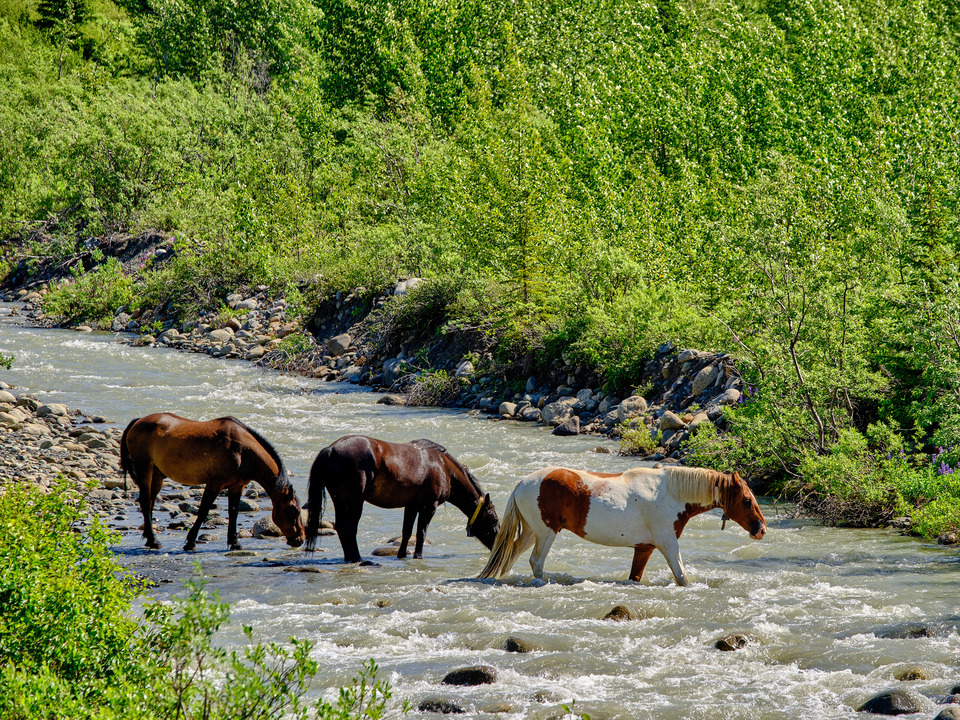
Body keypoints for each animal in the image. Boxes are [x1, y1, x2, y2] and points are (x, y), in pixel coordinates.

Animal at [120, 413, 305, 552]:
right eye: (294, 511)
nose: (300, 539)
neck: (242, 450)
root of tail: (138, 421)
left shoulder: (237, 486)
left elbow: (233, 512)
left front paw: (234, 543)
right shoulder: (214, 484)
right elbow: (203, 511)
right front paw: (190, 542)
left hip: (157, 475)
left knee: (150, 503)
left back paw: (149, 538)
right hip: (144, 468)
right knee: (145, 502)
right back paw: (154, 541)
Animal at [304, 435, 500, 562]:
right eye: (494, 520)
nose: (496, 546)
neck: (443, 466)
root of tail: (330, 450)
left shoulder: (412, 506)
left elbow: (407, 532)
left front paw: (402, 555)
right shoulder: (429, 506)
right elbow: (421, 532)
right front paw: (418, 556)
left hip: (340, 500)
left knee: (342, 527)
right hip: (354, 501)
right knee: (349, 528)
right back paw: (356, 558)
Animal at [477, 465, 766, 585]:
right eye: (747, 500)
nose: (762, 530)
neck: (670, 493)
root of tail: (522, 483)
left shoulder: (644, 548)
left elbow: (635, 577)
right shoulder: (668, 544)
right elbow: (682, 576)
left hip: (531, 533)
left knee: (512, 555)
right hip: (546, 533)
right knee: (536, 562)